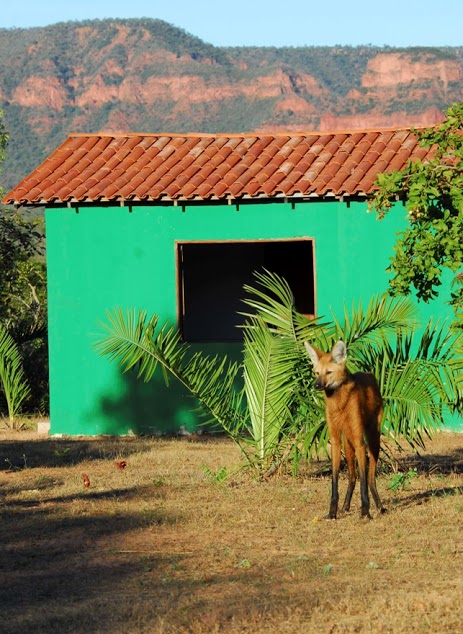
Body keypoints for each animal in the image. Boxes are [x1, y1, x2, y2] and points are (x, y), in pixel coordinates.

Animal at [306, 338, 386, 516]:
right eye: (317, 373)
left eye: (328, 372)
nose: (316, 385)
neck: (339, 404)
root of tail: (370, 374)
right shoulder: (336, 441)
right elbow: (335, 481)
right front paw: (332, 513)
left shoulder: (359, 442)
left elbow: (364, 481)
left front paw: (365, 512)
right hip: (347, 444)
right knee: (352, 476)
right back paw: (346, 506)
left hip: (372, 439)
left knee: (370, 478)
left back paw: (379, 506)